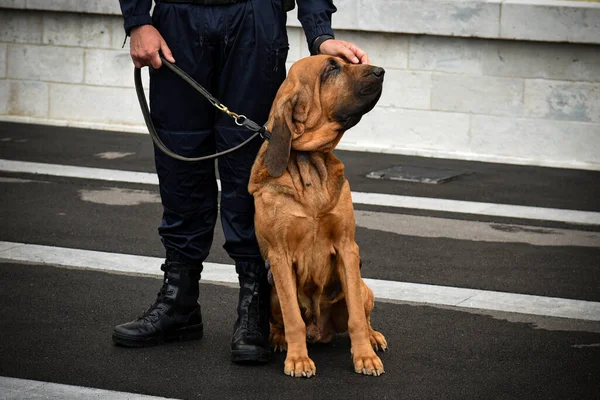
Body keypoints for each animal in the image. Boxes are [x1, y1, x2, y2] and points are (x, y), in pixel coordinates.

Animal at [250, 54, 386, 376]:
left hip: (363, 288)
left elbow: (356, 319)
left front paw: (364, 357)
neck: (309, 165)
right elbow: (293, 319)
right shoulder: (279, 256)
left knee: (363, 314)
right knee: (285, 321)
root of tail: (320, 332)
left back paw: (374, 338)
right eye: (331, 68)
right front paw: (298, 359)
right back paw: (279, 339)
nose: (380, 71)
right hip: (271, 289)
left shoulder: (347, 248)